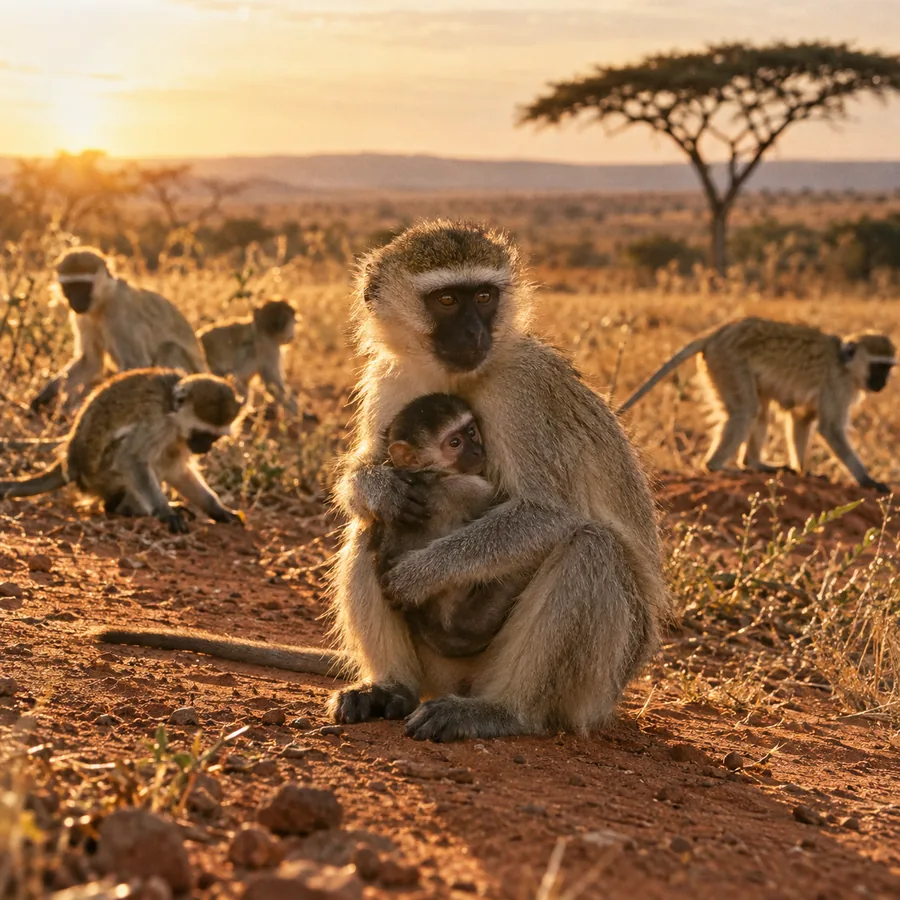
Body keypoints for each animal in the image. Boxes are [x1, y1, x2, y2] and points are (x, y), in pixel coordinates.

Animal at [2, 368, 243, 533]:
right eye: (201, 434)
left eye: (214, 437)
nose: (205, 448)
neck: (172, 412)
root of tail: (71, 459)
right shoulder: (157, 424)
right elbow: (131, 458)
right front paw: (165, 513)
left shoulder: (179, 439)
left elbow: (178, 471)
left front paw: (218, 509)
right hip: (101, 477)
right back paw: (126, 508)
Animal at [30, 247, 208, 414]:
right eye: (70, 287)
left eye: (83, 286)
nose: (76, 300)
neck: (101, 304)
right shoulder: (82, 317)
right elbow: (91, 361)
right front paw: (44, 397)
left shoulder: (120, 309)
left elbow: (135, 363)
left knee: (169, 348)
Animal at [370, 392, 527, 658]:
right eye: (455, 443)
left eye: (472, 432)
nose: (477, 451)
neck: (432, 472)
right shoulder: (470, 488)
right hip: (475, 621)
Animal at [617, 316, 896, 493]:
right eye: (878, 366)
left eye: (888, 367)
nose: (882, 383)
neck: (844, 363)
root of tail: (717, 334)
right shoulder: (836, 385)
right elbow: (830, 428)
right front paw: (868, 480)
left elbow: (801, 419)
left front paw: (804, 471)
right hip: (728, 362)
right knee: (746, 411)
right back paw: (718, 466)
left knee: (760, 411)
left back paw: (755, 465)